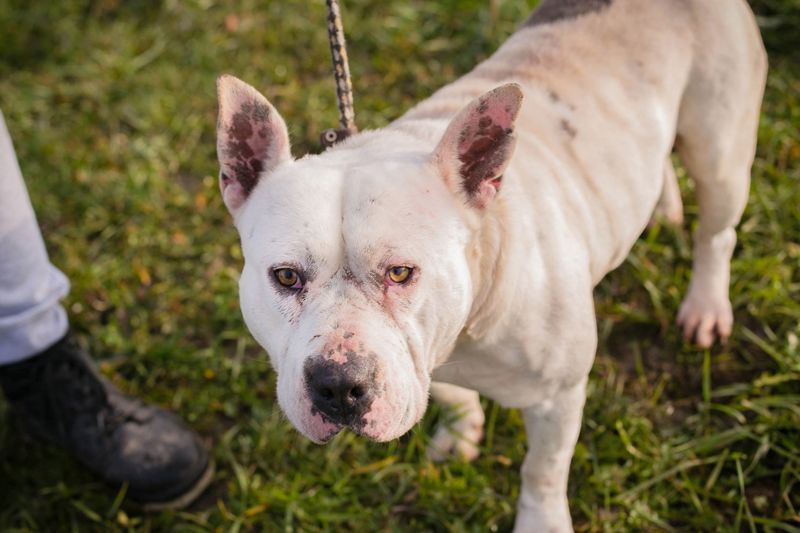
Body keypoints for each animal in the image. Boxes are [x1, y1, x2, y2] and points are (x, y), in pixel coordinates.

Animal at [215, 0, 766, 529]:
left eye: (400, 273)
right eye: (286, 277)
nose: (337, 386)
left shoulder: (558, 396)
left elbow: (542, 470)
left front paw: (542, 522)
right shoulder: (431, 352)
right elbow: (452, 394)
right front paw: (462, 432)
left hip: (719, 154)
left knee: (717, 232)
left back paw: (705, 304)